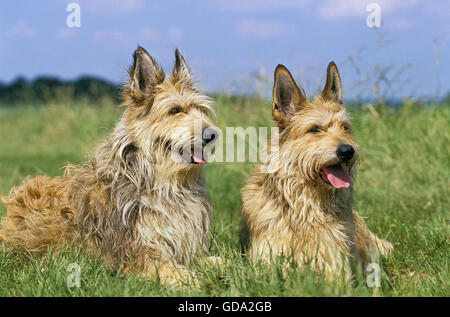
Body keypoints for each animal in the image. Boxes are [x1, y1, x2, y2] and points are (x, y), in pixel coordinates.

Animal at [0, 45, 218, 284]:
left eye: (201, 109)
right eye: (175, 110)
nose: (212, 134)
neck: (163, 182)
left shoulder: (185, 249)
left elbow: (219, 261)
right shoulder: (138, 256)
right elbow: (180, 275)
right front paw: (200, 282)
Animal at [241, 62, 392, 278]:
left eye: (345, 127)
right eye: (314, 129)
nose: (348, 151)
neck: (306, 206)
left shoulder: (334, 264)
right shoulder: (265, 261)